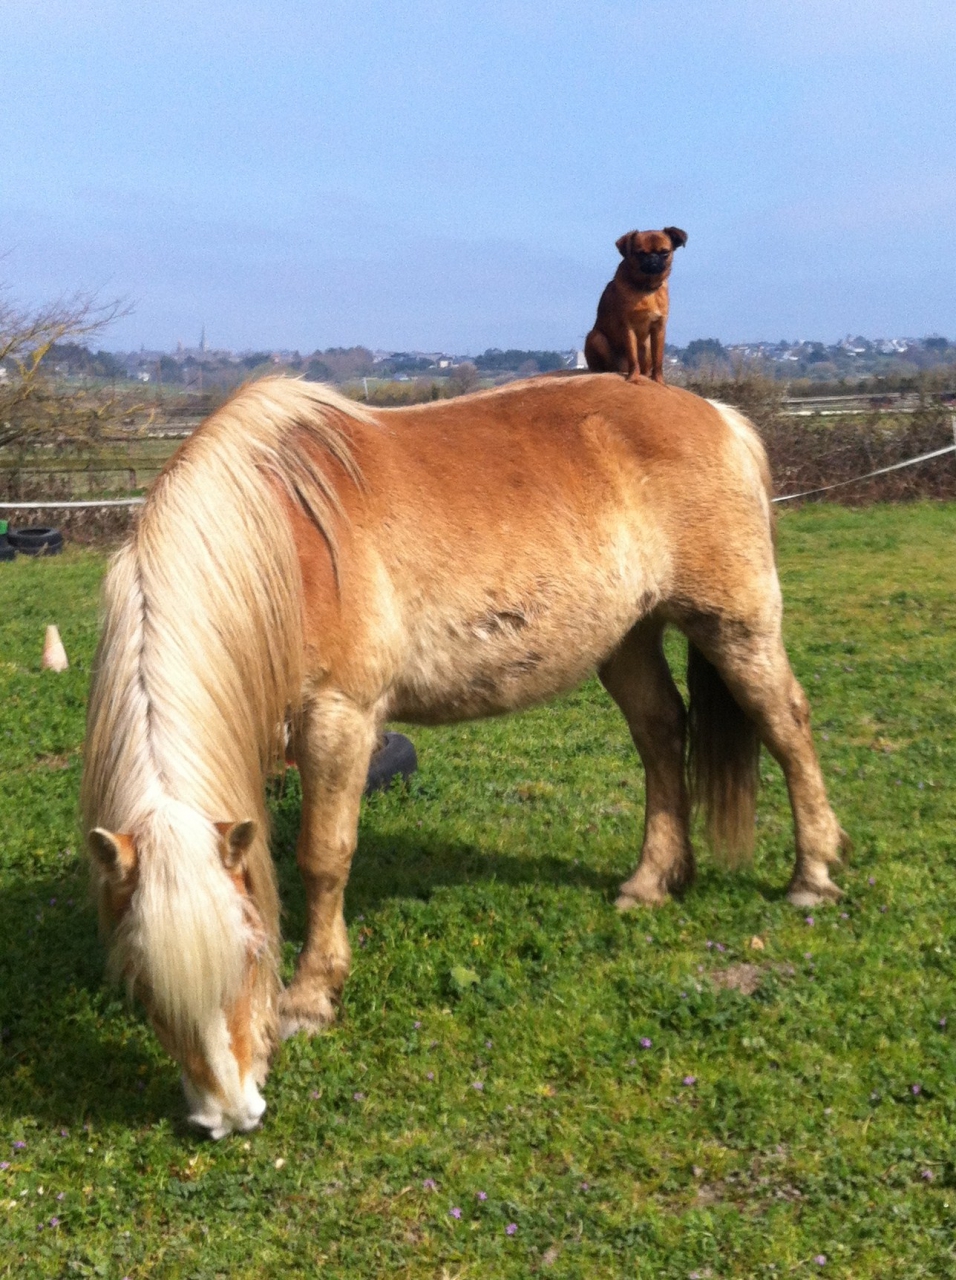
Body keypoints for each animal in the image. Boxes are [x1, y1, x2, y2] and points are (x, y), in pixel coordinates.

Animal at [81, 373, 848, 1137]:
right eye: (142, 985)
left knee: (787, 727)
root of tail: (718, 416)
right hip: (626, 639)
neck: (283, 546)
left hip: (736, 628)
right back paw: (651, 881)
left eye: (248, 953)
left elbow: (323, 858)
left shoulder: (338, 719)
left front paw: (309, 998)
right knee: (661, 734)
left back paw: (812, 874)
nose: (228, 1115)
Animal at [584, 227, 687, 384]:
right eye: (640, 253)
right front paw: (633, 378)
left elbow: (658, 360)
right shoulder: (628, 327)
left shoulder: (659, 328)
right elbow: (633, 358)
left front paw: (659, 382)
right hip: (596, 338)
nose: (653, 259)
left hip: (648, 345)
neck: (646, 289)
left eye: (665, 253)